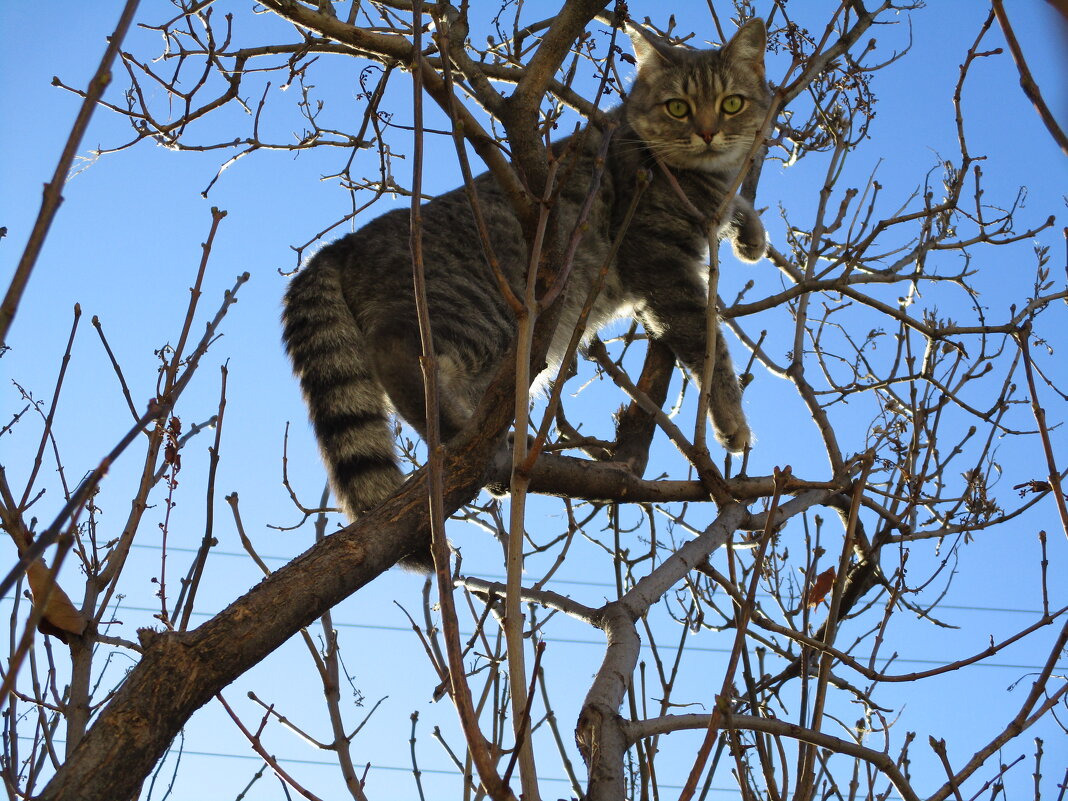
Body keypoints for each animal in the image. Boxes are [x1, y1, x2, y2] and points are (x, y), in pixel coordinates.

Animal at [281, 20, 768, 572]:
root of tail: (343, 244)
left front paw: (752, 232)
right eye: (678, 108)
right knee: (402, 357)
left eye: (731, 104)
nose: (707, 132)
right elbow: (708, 345)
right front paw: (731, 418)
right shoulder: (658, 263)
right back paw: (458, 437)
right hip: (480, 310)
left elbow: (740, 204)